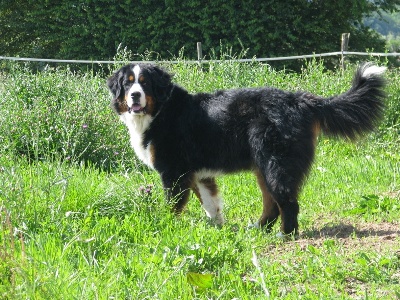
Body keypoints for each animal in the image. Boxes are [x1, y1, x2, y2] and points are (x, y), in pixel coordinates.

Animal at [108, 63, 386, 237]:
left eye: (145, 83)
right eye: (128, 83)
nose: (134, 96)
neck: (160, 111)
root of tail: (300, 100)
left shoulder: (174, 172)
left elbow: (173, 205)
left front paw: (166, 225)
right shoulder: (199, 174)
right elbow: (211, 204)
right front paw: (217, 229)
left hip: (276, 164)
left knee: (287, 202)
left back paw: (286, 235)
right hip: (262, 167)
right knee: (271, 205)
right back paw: (259, 230)